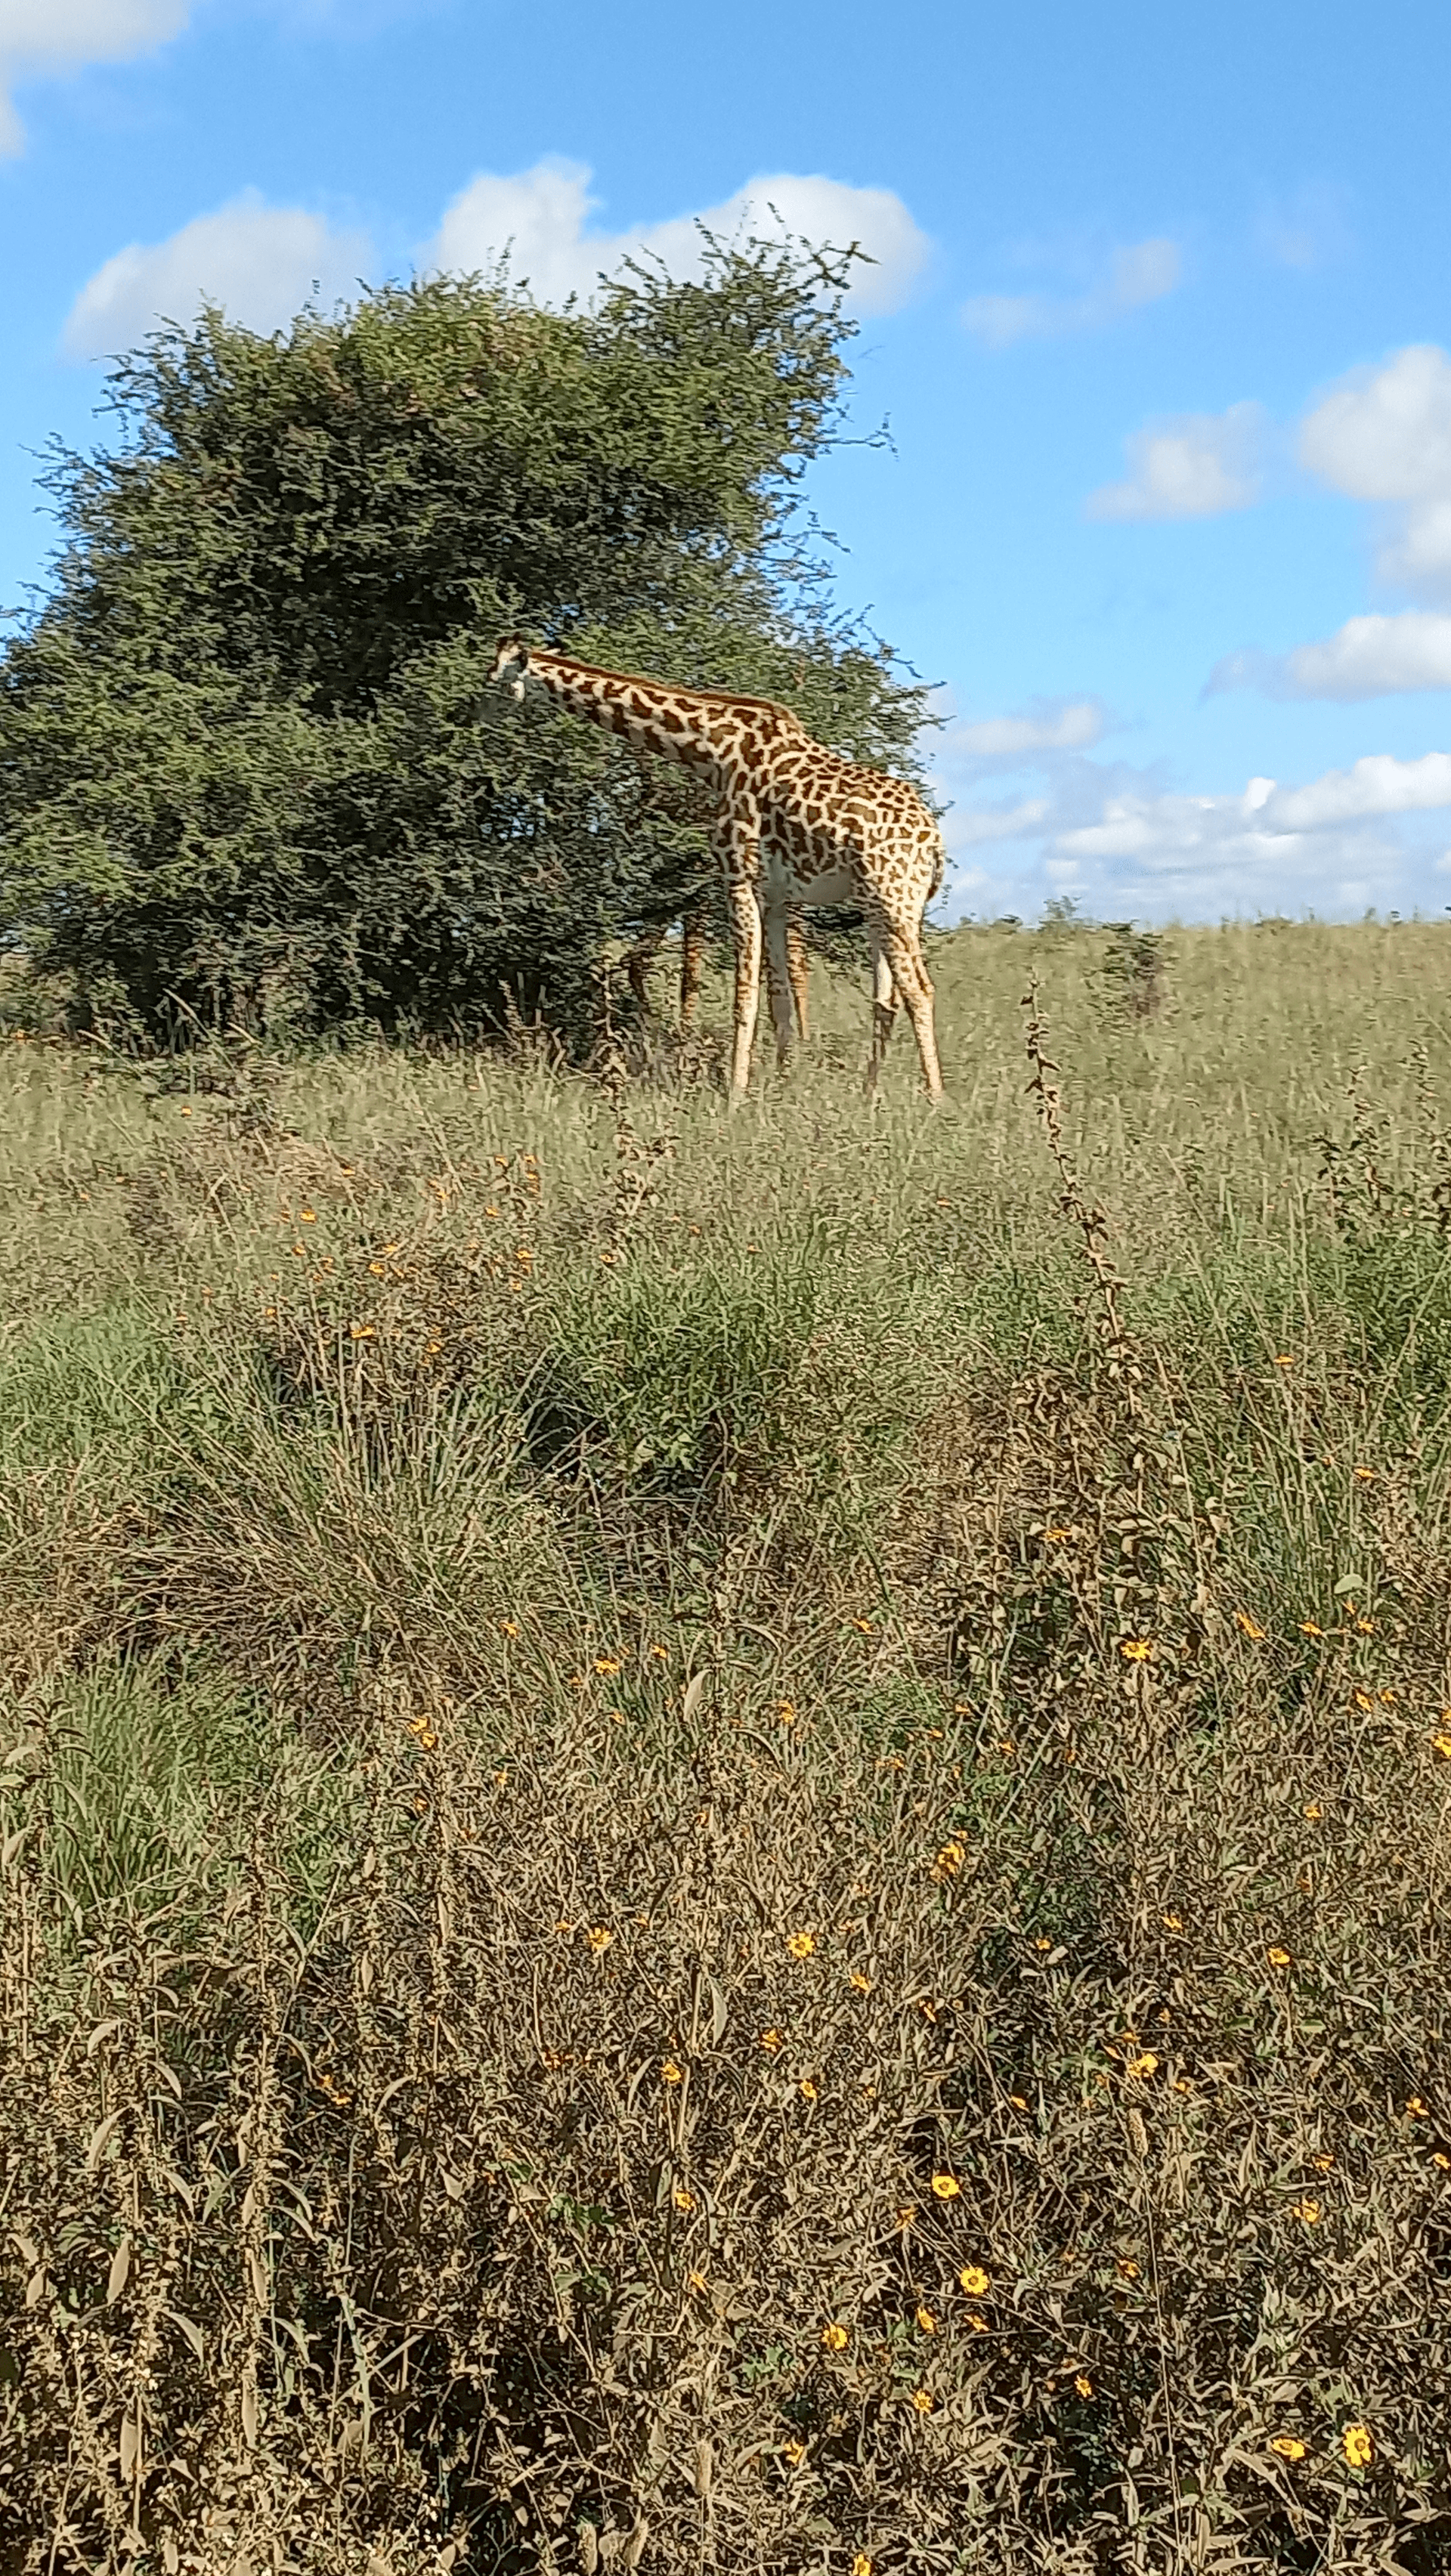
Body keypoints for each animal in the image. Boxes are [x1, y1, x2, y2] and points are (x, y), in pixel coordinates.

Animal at [492, 640, 944, 1100]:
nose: (478, 713)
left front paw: (734, 1097)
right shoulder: (776, 894)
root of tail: (933, 841)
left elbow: (744, 997)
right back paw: (869, 1098)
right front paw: (782, 1087)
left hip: (892, 898)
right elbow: (778, 996)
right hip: (881, 908)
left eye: (495, 681)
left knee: (920, 991)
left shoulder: (737, 873)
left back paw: (935, 1100)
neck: (713, 752)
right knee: (886, 1000)